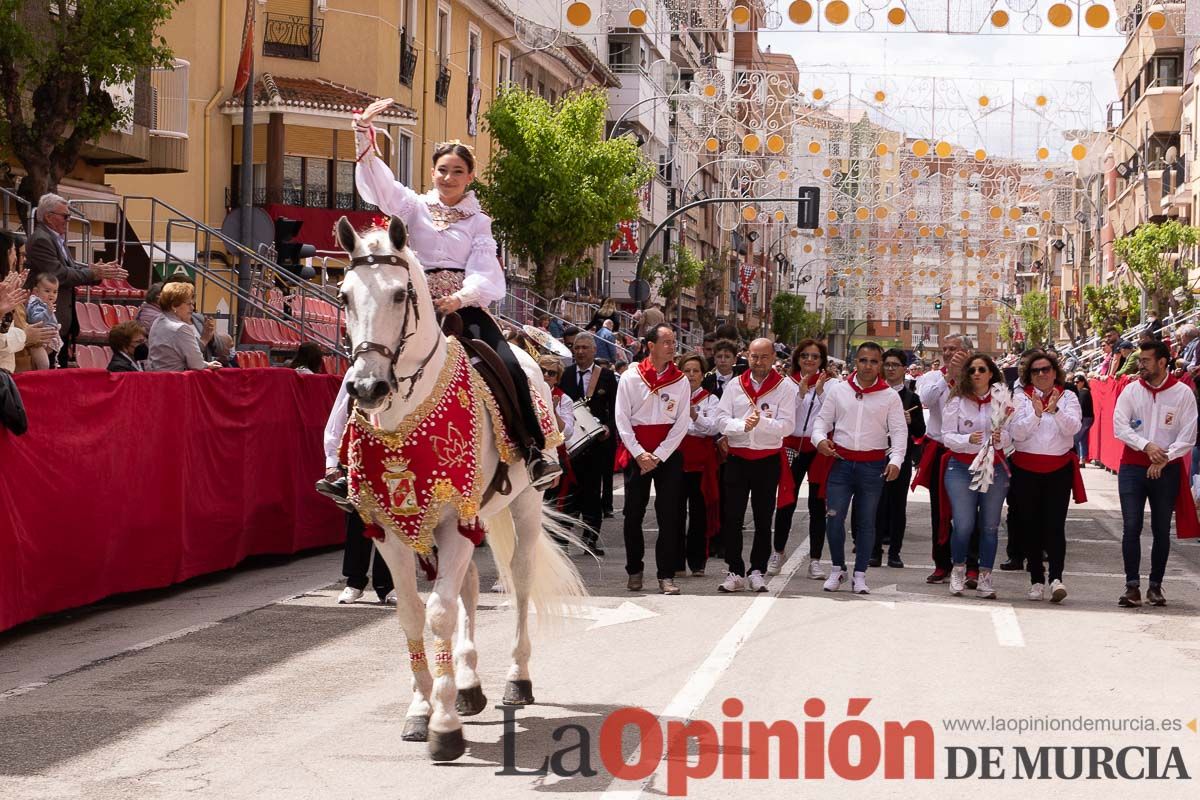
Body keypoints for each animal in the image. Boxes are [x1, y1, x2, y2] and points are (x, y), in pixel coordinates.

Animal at [336, 214, 583, 762]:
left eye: (400, 294)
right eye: (343, 294)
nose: (367, 388)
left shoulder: (453, 522)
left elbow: (440, 614)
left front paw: (443, 726)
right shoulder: (390, 532)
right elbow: (412, 616)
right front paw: (421, 711)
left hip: (522, 506)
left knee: (519, 578)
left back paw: (516, 678)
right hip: (479, 515)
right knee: (470, 584)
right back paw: (470, 686)